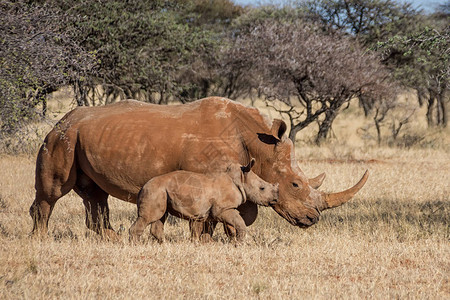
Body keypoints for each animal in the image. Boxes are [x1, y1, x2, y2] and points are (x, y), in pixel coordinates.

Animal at [128, 159, 278, 241]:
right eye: (262, 188)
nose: (276, 199)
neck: (240, 178)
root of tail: (142, 187)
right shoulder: (222, 209)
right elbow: (239, 222)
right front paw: (240, 242)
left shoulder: (216, 210)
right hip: (154, 191)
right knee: (149, 217)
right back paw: (135, 245)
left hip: (160, 191)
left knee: (160, 217)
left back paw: (164, 244)